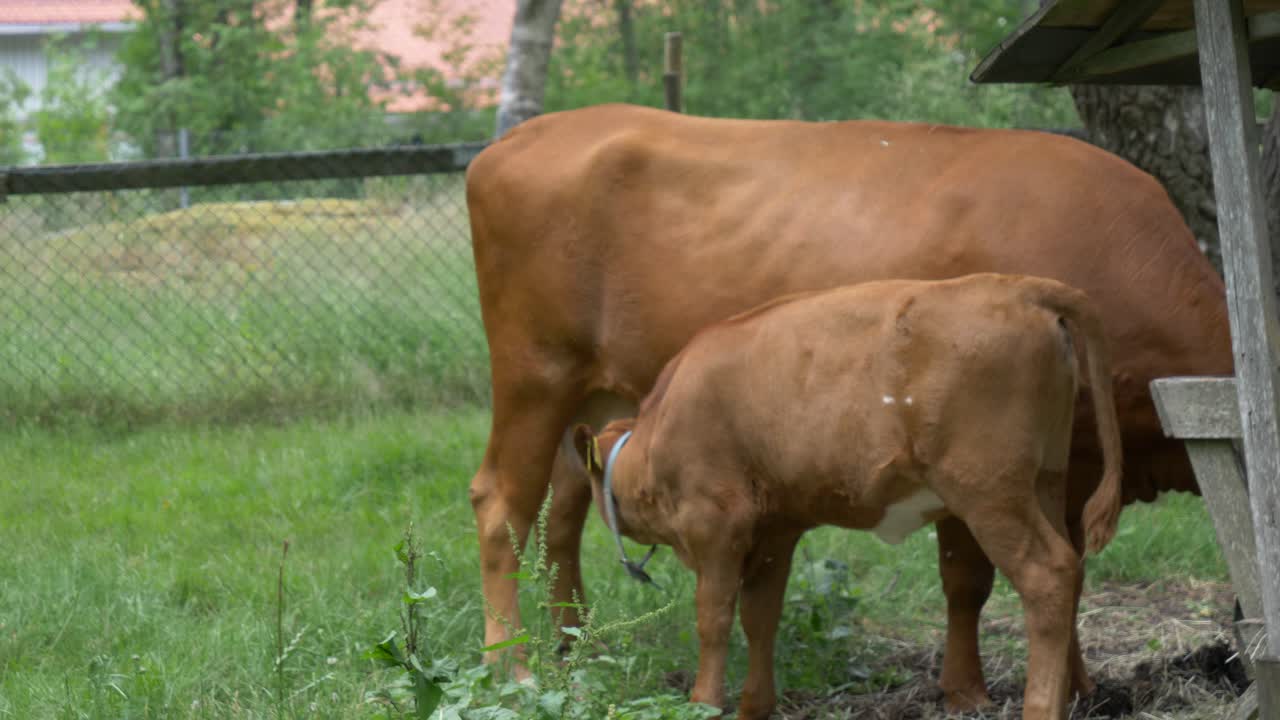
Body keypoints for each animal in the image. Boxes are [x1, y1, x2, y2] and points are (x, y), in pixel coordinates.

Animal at [571, 273, 1123, 720]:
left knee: (1048, 575)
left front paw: (704, 703)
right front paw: (755, 706)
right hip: (1045, 479)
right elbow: (760, 616)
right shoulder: (776, 529)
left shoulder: (716, 522)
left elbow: (714, 615)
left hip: (989, 491)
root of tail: (1019, 286)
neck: (656, 435)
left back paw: (1041, 706)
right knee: (1072, 566)